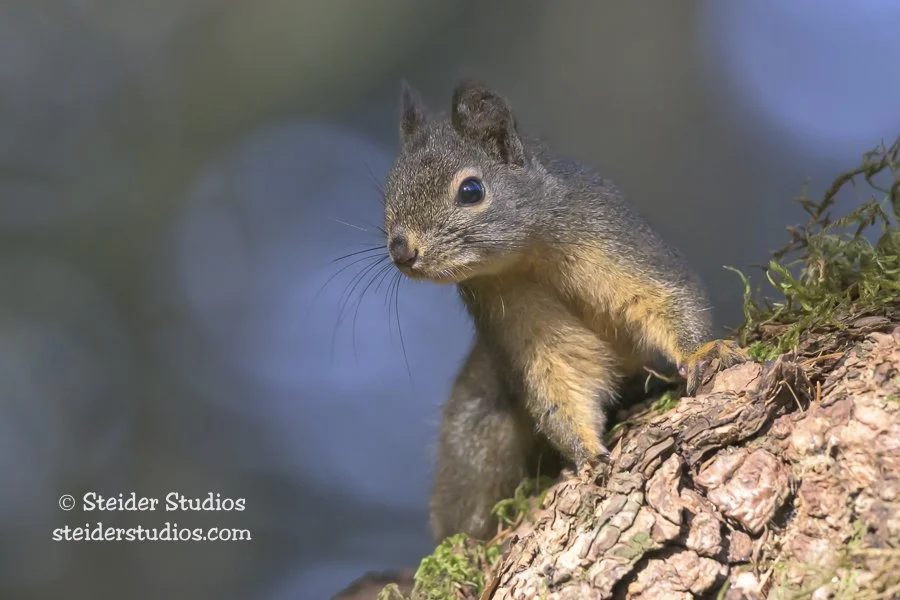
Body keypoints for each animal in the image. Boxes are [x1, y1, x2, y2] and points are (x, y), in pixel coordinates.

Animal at [382, 79, 747, 542]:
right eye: (388, 192)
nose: (401, 250)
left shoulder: (611, 235)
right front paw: (587, 457)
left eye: (471, 191)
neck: (526, 257)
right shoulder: (511, 314)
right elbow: (559, 376)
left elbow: (664, 298)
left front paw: (704, 353)